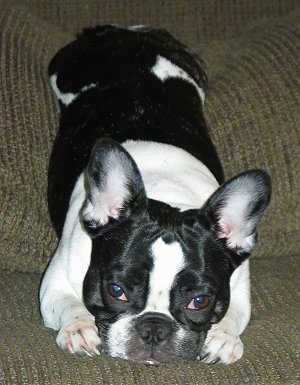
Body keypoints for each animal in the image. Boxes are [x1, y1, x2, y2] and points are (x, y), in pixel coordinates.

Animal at [38, 25, 270, 364]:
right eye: (116, 291)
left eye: (200, 300)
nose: (154, 328)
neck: (165, 190)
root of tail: (122, 32)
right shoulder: (54, 284)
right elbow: (68, 303)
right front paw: (80, 327)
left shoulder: (238, 290)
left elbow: (233, 313)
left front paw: (223, 337)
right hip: (62, 67)